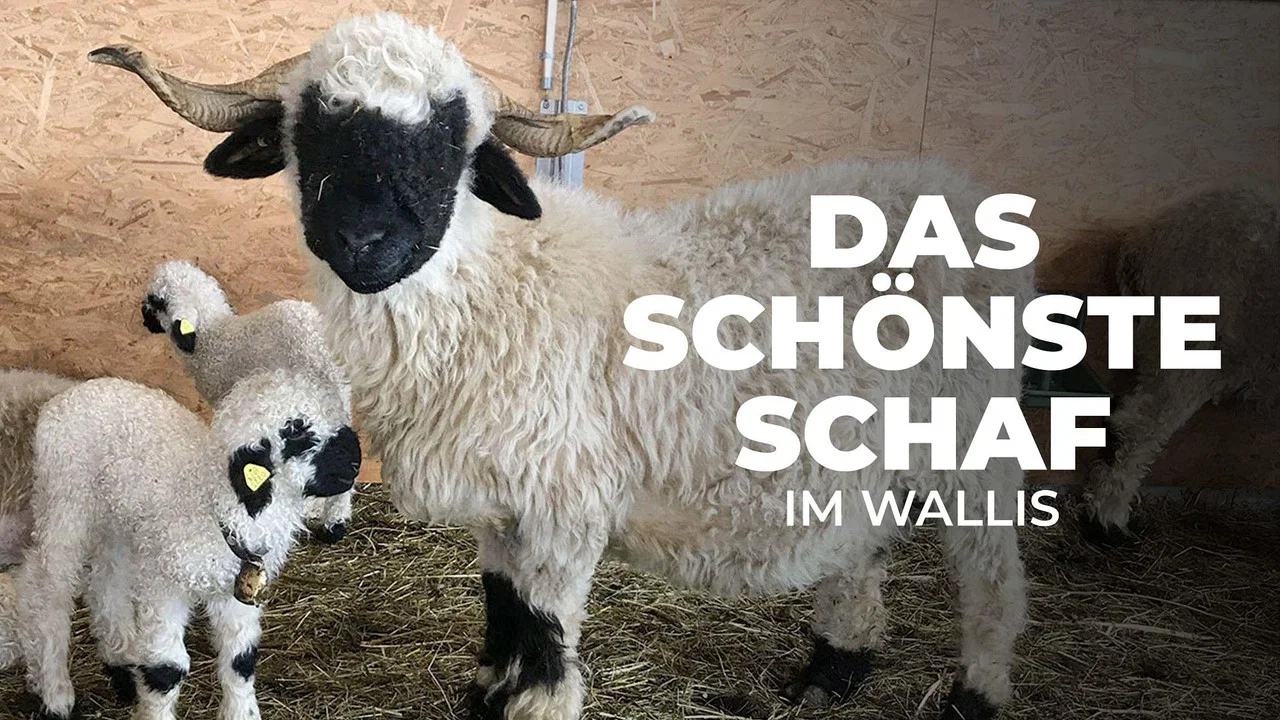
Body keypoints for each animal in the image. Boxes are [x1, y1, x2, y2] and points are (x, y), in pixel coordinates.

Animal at [9, 369, 360, 720]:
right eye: (295, 431)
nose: (356, 461)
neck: (214, 502)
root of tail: (67, 396)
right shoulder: (165, 586)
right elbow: (167, 669)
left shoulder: (232, 589)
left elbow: (241, 661)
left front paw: (241, 712)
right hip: (64, 501)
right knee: (47, 592)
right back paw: (55, 692)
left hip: (119, 521)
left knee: (106, 582)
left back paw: (121, 665)